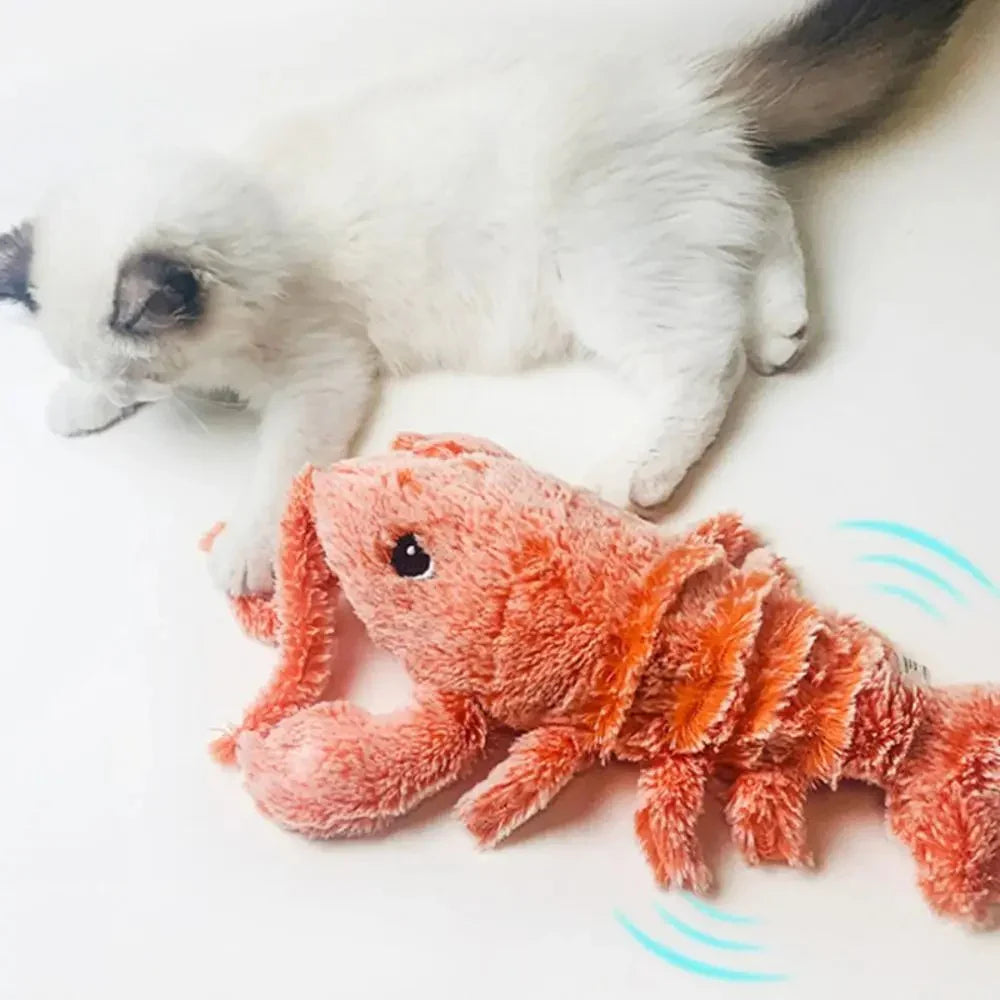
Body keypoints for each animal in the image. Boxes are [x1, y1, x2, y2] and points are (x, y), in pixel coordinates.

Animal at [0, 0, 972, 592]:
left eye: (145, 377)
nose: (124, 392)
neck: (256, 216)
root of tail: (687, 91)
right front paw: (73, 405)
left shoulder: (321, 376)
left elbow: (277, 470)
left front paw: (246, 551)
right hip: (689, 222)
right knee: (766, 216)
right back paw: (784, 328)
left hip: (604, 279)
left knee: (705, 357)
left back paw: (640, 472)